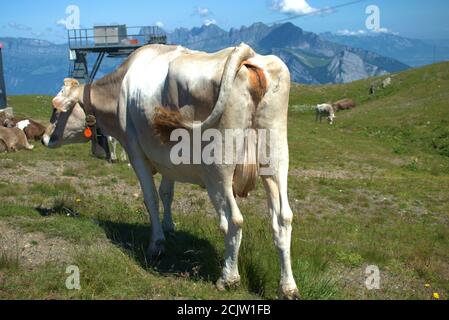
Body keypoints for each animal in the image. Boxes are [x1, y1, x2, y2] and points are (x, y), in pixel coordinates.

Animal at [42, 43, 300, 300]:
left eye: (56, 110)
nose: (44, 138)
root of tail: (248, 53)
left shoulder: (135, 152)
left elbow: (151, 198)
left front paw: (157, 243)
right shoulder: (166, 159)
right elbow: (167, 193)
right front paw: (169, 227)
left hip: (218, 171)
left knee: (233, 220)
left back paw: (228, 278)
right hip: (276, 158)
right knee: (283, 218)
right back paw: (288, 287)